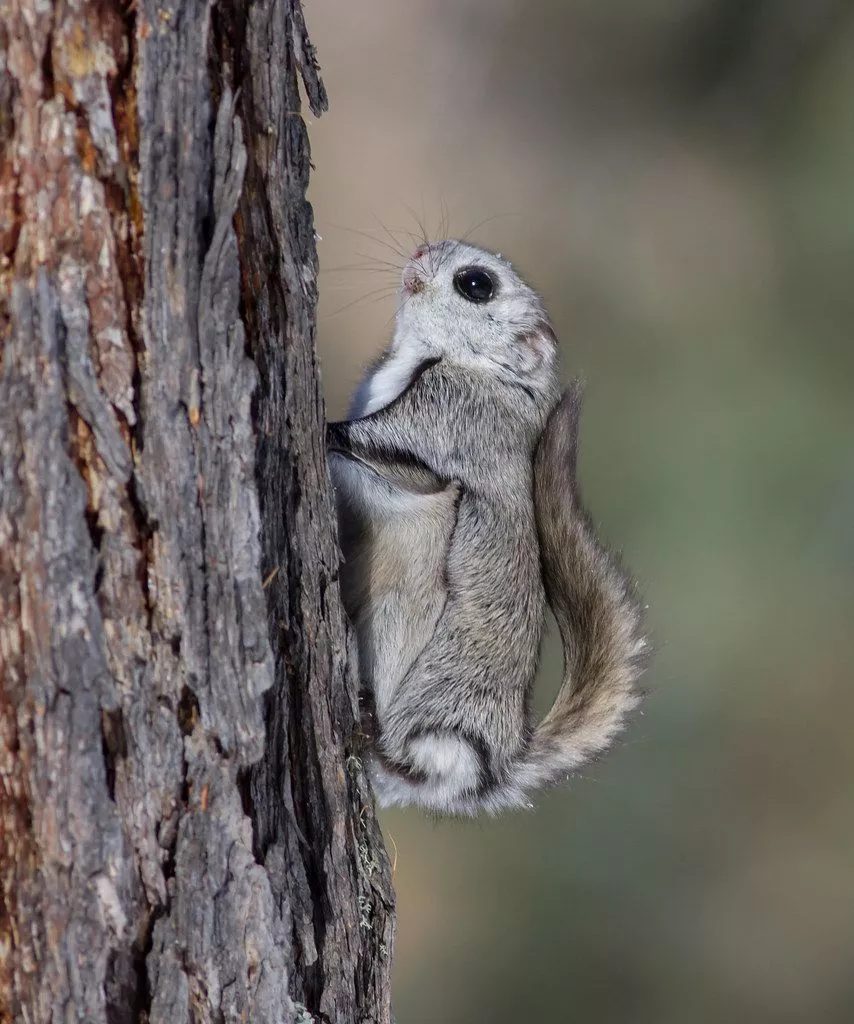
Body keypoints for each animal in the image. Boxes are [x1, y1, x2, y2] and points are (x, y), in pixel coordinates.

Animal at [326, 240, 647, 815]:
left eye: (476, 284)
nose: (420, 250)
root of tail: (491, 770)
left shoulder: (450, 415)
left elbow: (365, 448)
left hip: (414, 642)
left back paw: (367, 728)